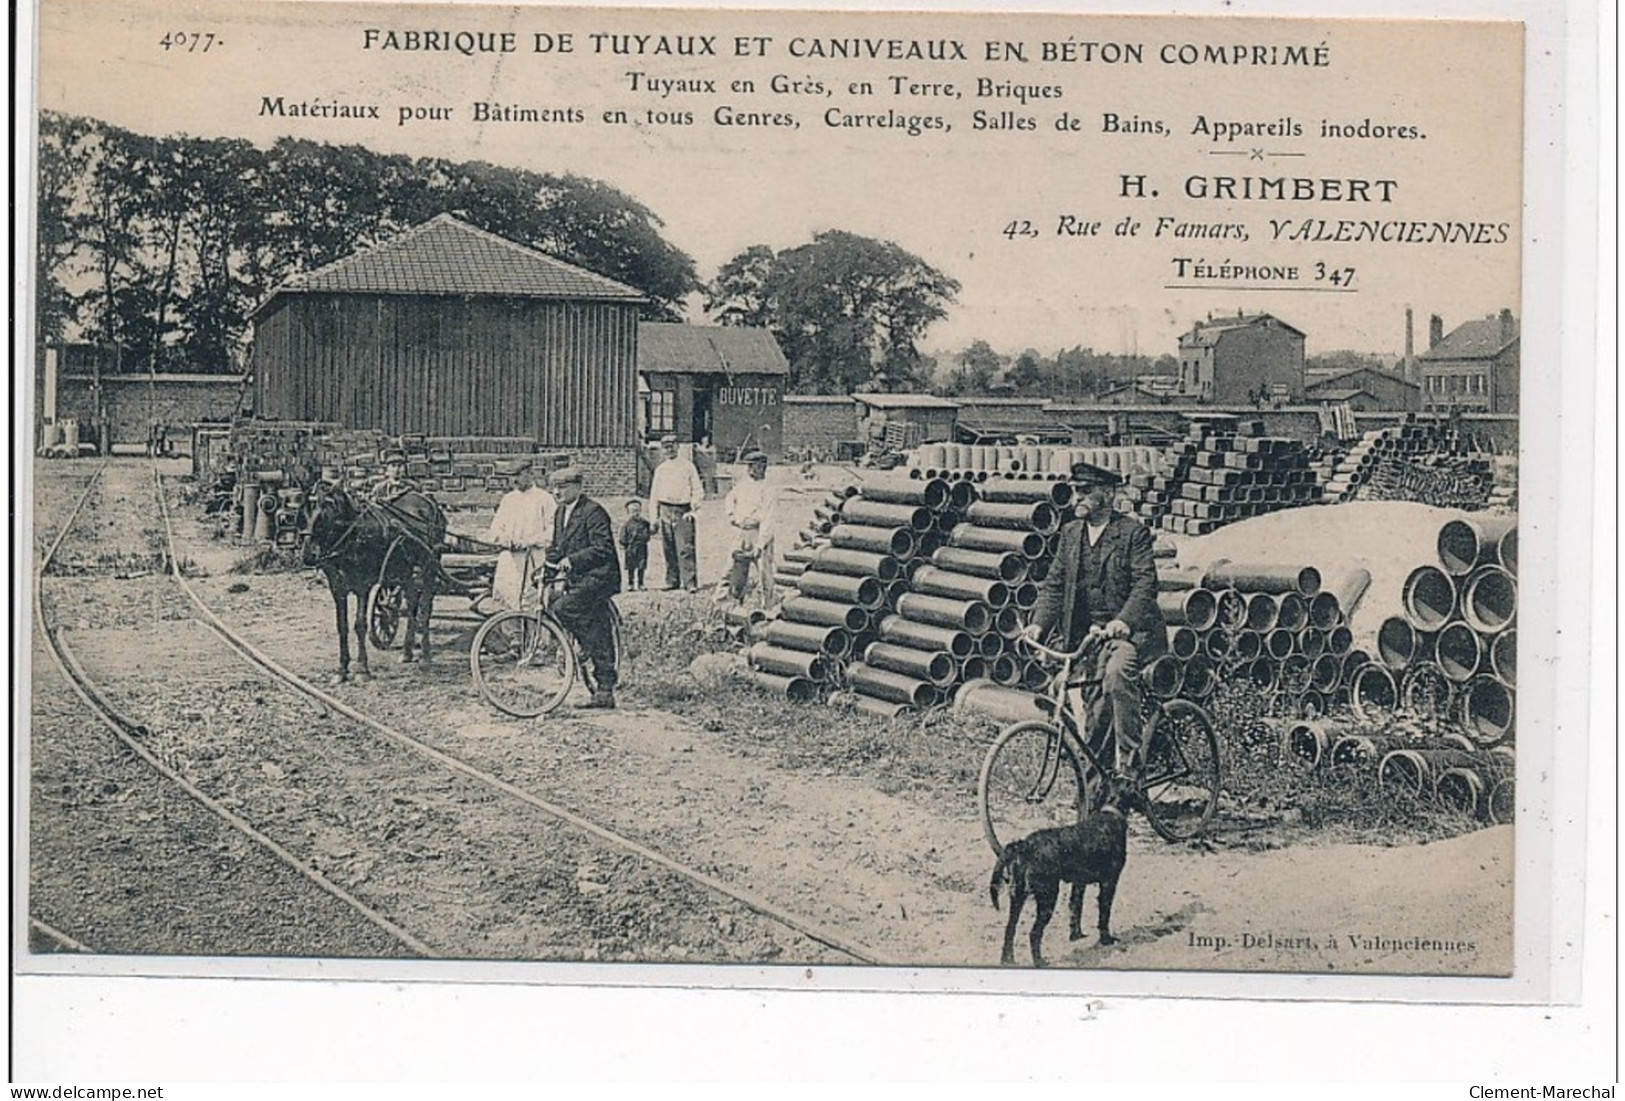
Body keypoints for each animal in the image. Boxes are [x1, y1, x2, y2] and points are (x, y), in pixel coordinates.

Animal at [981, 779, 1137, 967]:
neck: (1110, 813)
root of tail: (1025, 845)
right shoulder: (1109, 883)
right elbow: (1104, 915)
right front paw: (1106, 940)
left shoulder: (1080, 883)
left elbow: (1075, 907)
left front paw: (1076, 935)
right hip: (1048, 897)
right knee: (1034, 933)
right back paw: (1040, 962)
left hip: (1018, 897)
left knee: (1010, 929)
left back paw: (1007, 961)